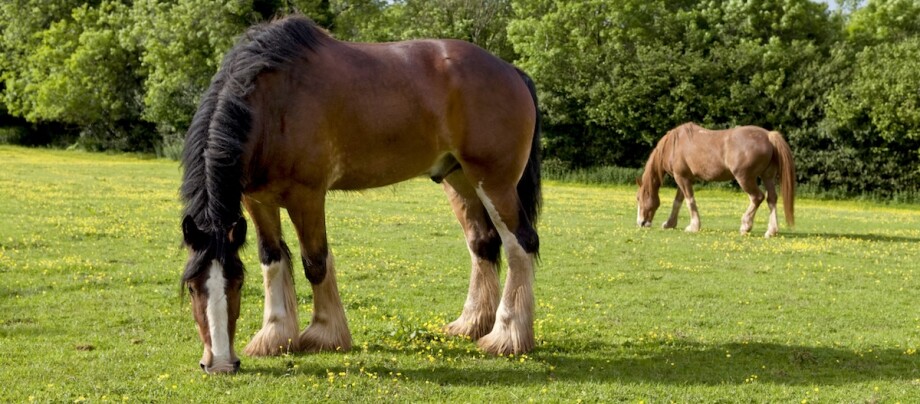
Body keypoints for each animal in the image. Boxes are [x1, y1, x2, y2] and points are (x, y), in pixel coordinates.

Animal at [177, 17, 544, 374]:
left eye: (237, 283)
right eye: (193, 286)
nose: (219, 364)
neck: (274, 101)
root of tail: (511, 71)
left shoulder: (306, 196)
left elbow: (315, 262)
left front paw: (325, 334)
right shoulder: (258, 200)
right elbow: (272, 260)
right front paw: (274, 336)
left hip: (494, 182)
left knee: (519, 244)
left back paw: (506, 337)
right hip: (459, 179)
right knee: (482, 244)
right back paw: (470, 325)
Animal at [636, 121, 796, 238]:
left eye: (638, 198)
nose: (641, 222)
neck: (673, 145)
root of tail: (768, 135)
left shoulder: (682, 178)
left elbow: (689, 201)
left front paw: (693, 226)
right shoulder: (685, 178)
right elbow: (678, 202)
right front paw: (670, 224)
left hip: (745, 178)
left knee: (757, 197)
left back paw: (745, 226)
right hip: (767, 176)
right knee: (771, 198)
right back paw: (771, 231)